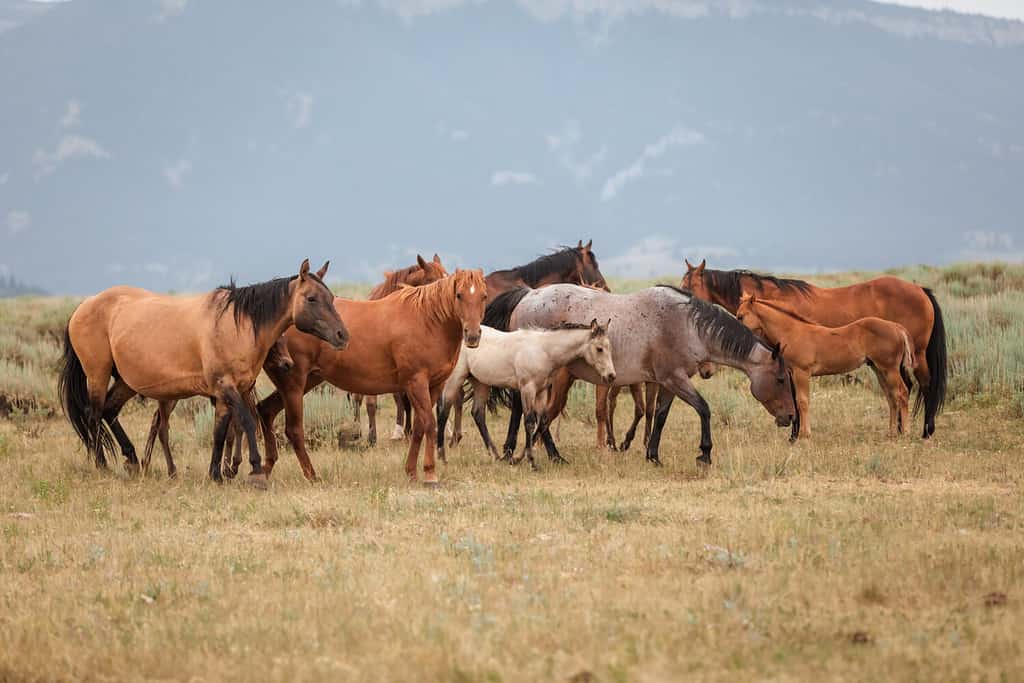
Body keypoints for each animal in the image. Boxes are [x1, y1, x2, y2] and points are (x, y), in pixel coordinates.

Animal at [139, 334, 295, 479]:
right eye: (274, 343)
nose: (288, 363)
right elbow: (233, 430)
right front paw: (229, 468)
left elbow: (232, 429)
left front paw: (228, 468)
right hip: (170, 398)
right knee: (161, 425)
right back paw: (164, 469)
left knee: (156, 419)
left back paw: (145, 464)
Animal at [436, 320, 616, 469]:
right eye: (599, 349)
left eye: (609, 347)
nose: (611, 376)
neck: (544, 350)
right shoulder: (527, 389)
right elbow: (529, 421)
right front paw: (531, 461)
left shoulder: (542, 391)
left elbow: (543, 421)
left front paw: (519, 458)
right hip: (455, 379)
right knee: (443, 410)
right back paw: (441, 456)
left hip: (481, 383)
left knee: (477, 413)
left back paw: (495, 455)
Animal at [483, 284, 799, 467]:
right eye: (781, 380)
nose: (791, 417)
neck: (687, 325)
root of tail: (528, 294)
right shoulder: (676, 379)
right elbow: (704, 409)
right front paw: (705, 453)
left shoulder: (668, 384)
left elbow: (659, 415)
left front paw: (653, 455)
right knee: (535, 411)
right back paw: (540, 454)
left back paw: (517, 452)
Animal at [736, 294, 916, 438]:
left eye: (741, 316)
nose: (739, 332)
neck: (792, 332)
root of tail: (897, 327)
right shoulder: (792, 373)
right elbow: (796, 401)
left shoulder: (802, 372)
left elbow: (802, 401)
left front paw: (804, 435)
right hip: (878, 369)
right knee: (891, 397)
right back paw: (891, 432)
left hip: (889, 369)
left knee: (902, 393)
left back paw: (906, 432)